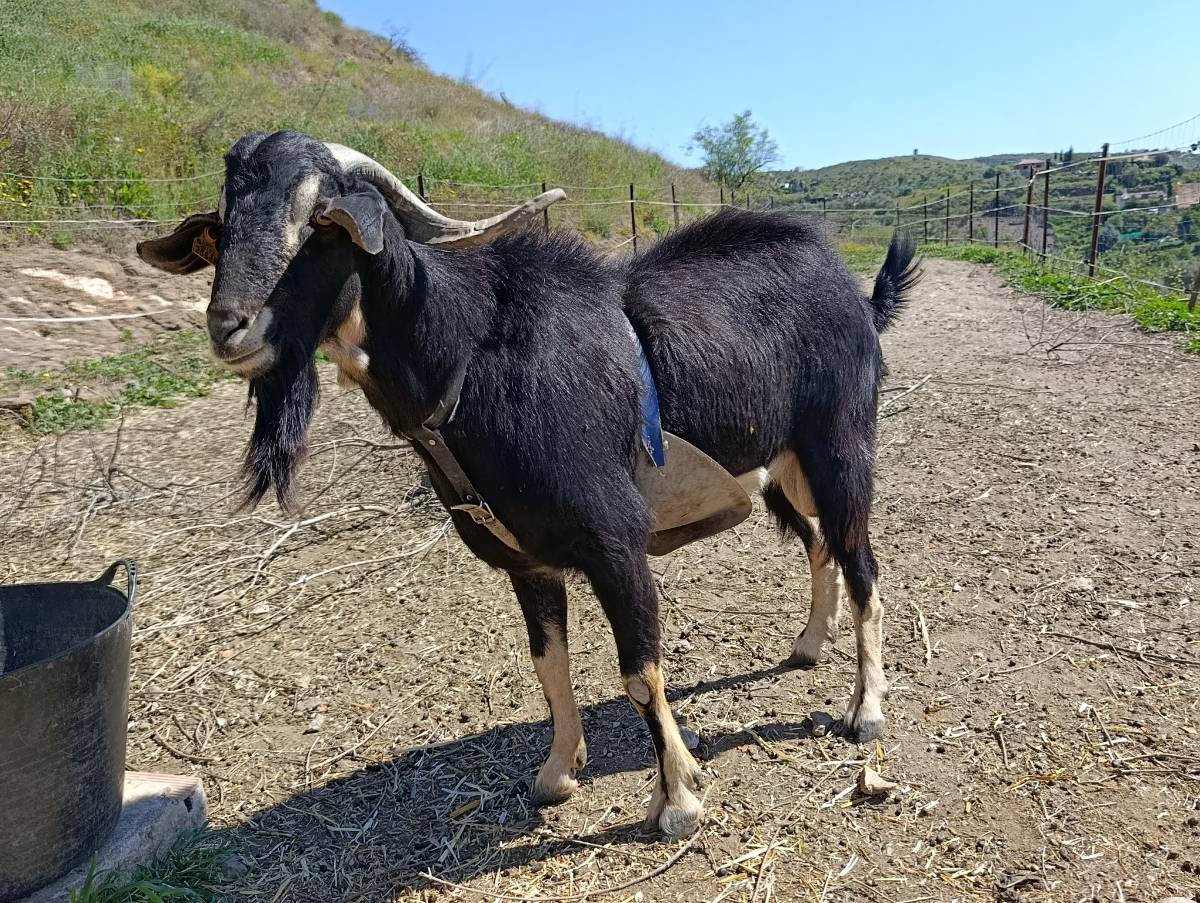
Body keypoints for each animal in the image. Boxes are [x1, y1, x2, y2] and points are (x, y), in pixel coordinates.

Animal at [138, 130, 920, 838]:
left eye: (320, 220)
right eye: (223, 223)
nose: (228, 326)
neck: (465, 363)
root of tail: (856, 297)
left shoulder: (616, 542)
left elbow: (640, 671)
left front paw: (676, 801)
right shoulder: (526, 560)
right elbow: (549, 665)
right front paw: (557, 772)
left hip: (839, 447)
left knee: (863, 564)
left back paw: (866, 709)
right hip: (776, 467)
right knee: (819, 545)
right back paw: (808, 644)